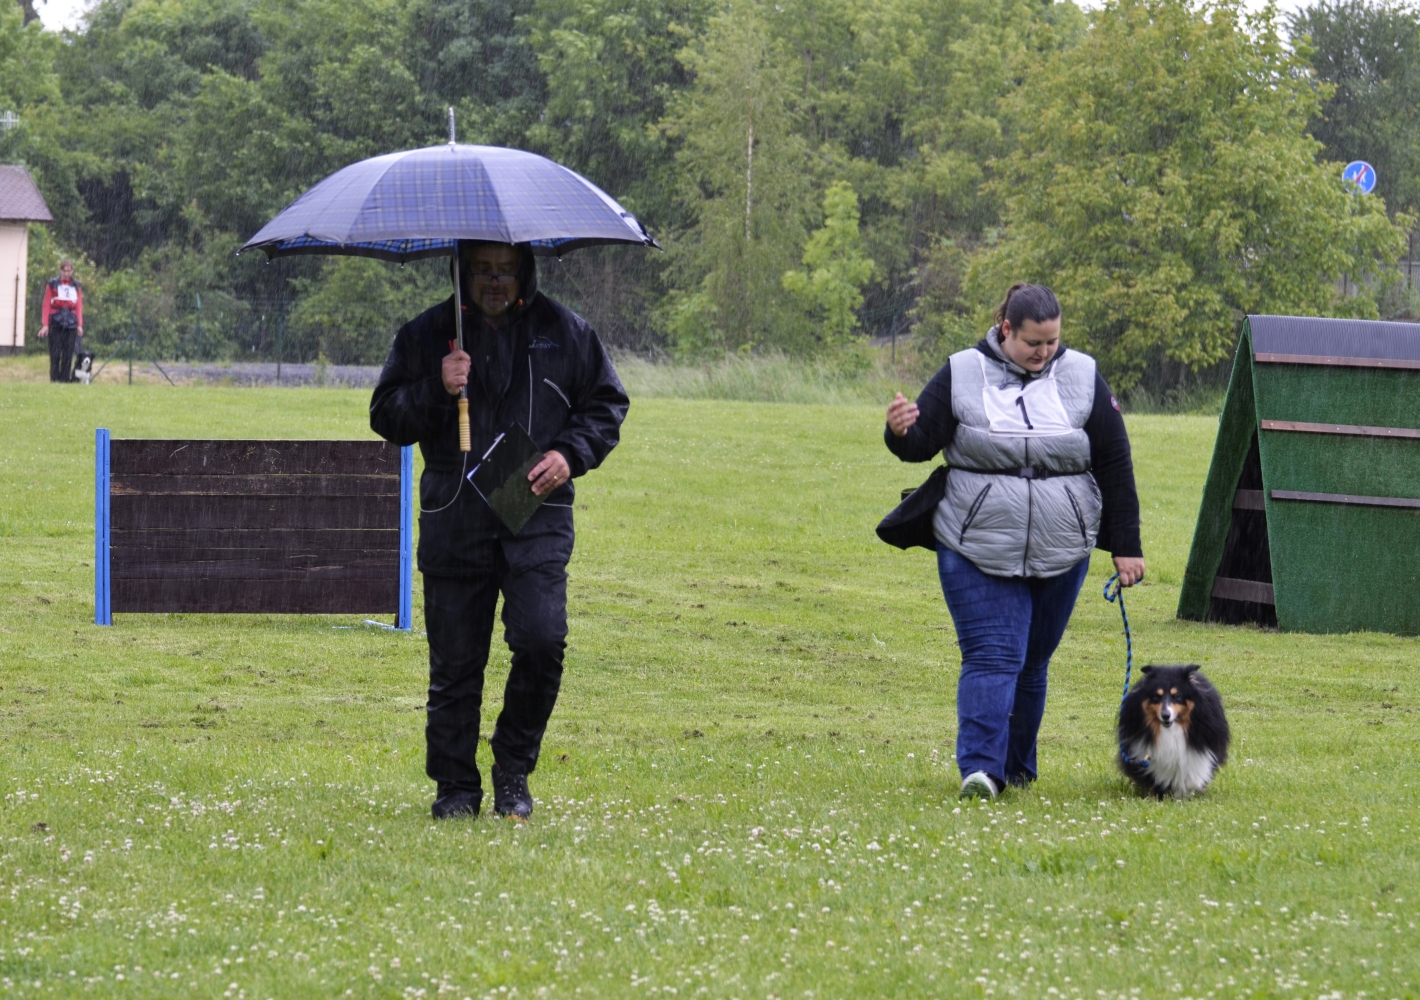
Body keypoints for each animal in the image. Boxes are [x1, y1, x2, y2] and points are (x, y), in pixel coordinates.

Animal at [1113, 667, 1226, 801]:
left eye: (1177, 696)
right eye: (1156, 697)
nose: (1165, 715)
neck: (1172, 730)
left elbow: (1193, 774)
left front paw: (1186, 792)